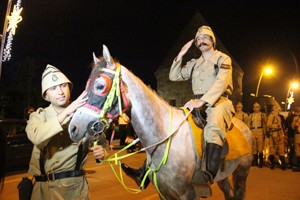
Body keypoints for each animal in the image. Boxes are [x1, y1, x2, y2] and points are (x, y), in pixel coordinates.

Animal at [69, 45, 253, 200]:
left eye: (100, 86)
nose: (73, 128)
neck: (166, 140)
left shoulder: (188, 194)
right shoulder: (164, 193)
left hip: (242, 173)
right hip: (224, 176)